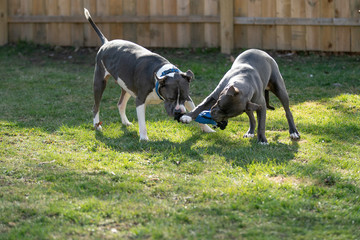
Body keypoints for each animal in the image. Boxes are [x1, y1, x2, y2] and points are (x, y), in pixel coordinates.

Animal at [84, 8, 214, 141]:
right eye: (170, 98)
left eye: (183, 97)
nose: (179, 112)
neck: (162, 74)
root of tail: (106, 43)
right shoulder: (140, 100)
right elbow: (142, 123)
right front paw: (144, 138)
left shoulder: (188, 99)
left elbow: (195, 110)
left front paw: (207, 129)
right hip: (99, 82)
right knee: (96, 107)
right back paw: (97, 125)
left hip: (127, 86)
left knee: (120, 104)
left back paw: (125, 122)